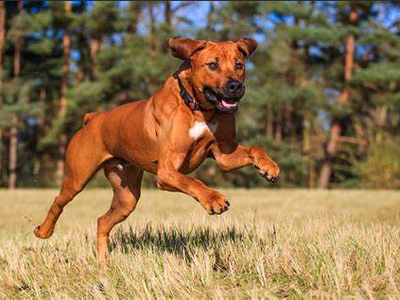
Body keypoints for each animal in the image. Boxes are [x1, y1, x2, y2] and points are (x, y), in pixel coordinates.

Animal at [34, 37, 280, 258]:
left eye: (239, 65)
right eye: (212, 65)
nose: (235, 86)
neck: (198, 107)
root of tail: (93, 118)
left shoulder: (223, 154)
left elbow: (254, 149)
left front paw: (268, 167)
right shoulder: (167, 172)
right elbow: (192, 181)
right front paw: (213, 199)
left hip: (127, 197)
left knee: (102, 221)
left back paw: (104, 264)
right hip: (77, 176)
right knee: (58, 201)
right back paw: (43, 231)